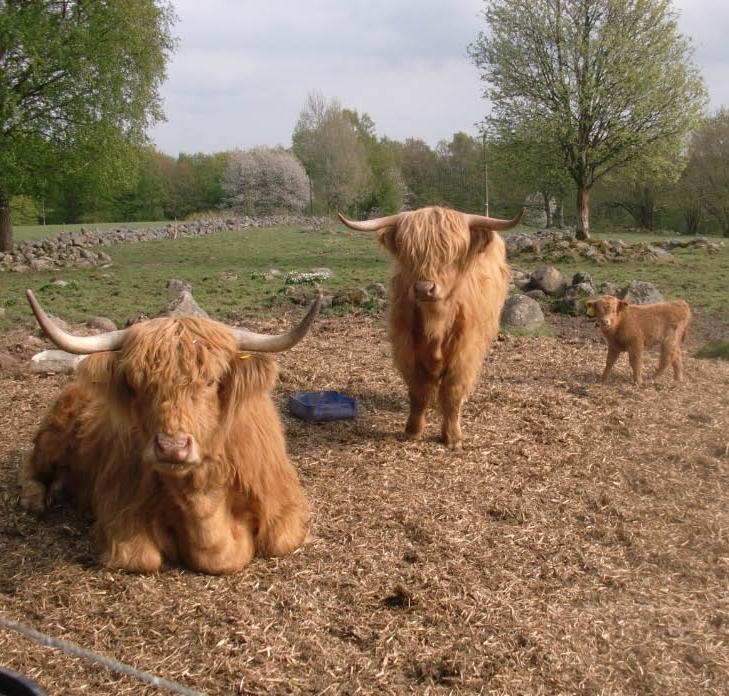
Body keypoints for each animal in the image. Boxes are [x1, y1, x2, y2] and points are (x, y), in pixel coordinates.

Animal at [19, 290, 322, 572]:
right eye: (136, 383)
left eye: (211, 381)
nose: (172, 447)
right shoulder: (120, 513)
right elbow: (144, 559)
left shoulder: (286, 509)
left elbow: (279, 542)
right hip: (50, 441)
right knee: (31, 471)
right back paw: (36, 500)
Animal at [338, 204, 520, 448]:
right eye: (409, 253)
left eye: (452, 254)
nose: (424, 289)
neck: (436, 322)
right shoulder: (406, 347)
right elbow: (418, 391)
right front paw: (413, 430)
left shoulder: (465, 351)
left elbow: (453, 391)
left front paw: (452, 437)